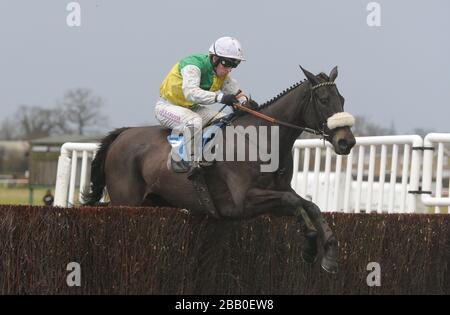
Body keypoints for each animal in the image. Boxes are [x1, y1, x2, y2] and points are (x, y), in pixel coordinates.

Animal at [83, 67, 356, 274]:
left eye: (342, 99)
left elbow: (310, 206)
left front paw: (330, 254)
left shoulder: (277, 194)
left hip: (154, 201)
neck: (262, 139)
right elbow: (294, 202)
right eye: (323, 100)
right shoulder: (242, 201)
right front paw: (309, 247)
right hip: (127, 202)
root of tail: (122, 134)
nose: (347, 142)